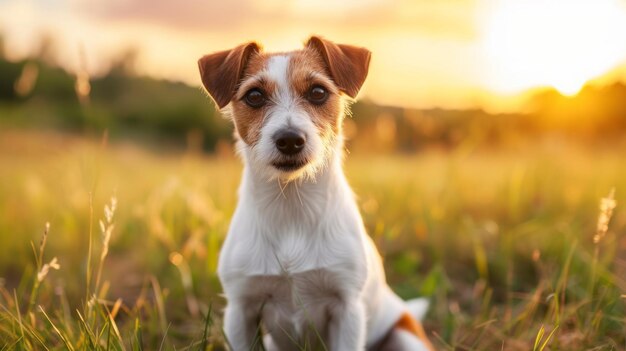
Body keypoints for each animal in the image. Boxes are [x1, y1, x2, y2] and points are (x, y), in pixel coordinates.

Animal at [197, 36, 432, 351]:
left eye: (318, 92)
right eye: (254, 96)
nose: (289, 139)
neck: (292, 204)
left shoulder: (347, 310)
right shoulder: (240, 310)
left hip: (406, 336)